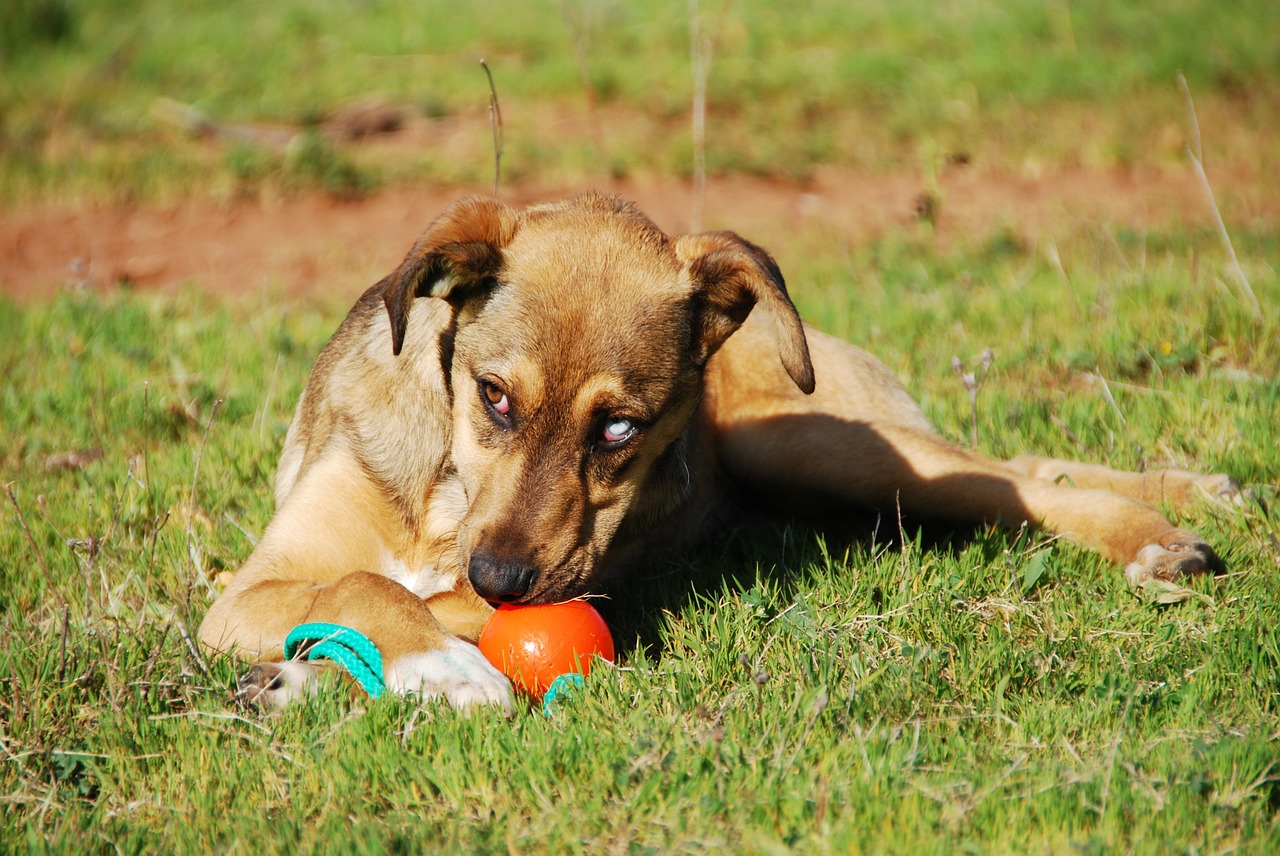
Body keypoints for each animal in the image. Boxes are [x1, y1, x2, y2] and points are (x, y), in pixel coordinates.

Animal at [202, 191, 1239, 706]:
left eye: (619, 428)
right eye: (493, 397)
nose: (501, 579)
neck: (447, 494)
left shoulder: (582, 574)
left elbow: (392, 592)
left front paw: (432, 661)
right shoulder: (245, 593)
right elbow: (358, 582)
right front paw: (358, 669)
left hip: (816, 446)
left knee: (1015, 482)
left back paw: (1164, 531)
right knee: (1018, 470)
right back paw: (1198, 493)